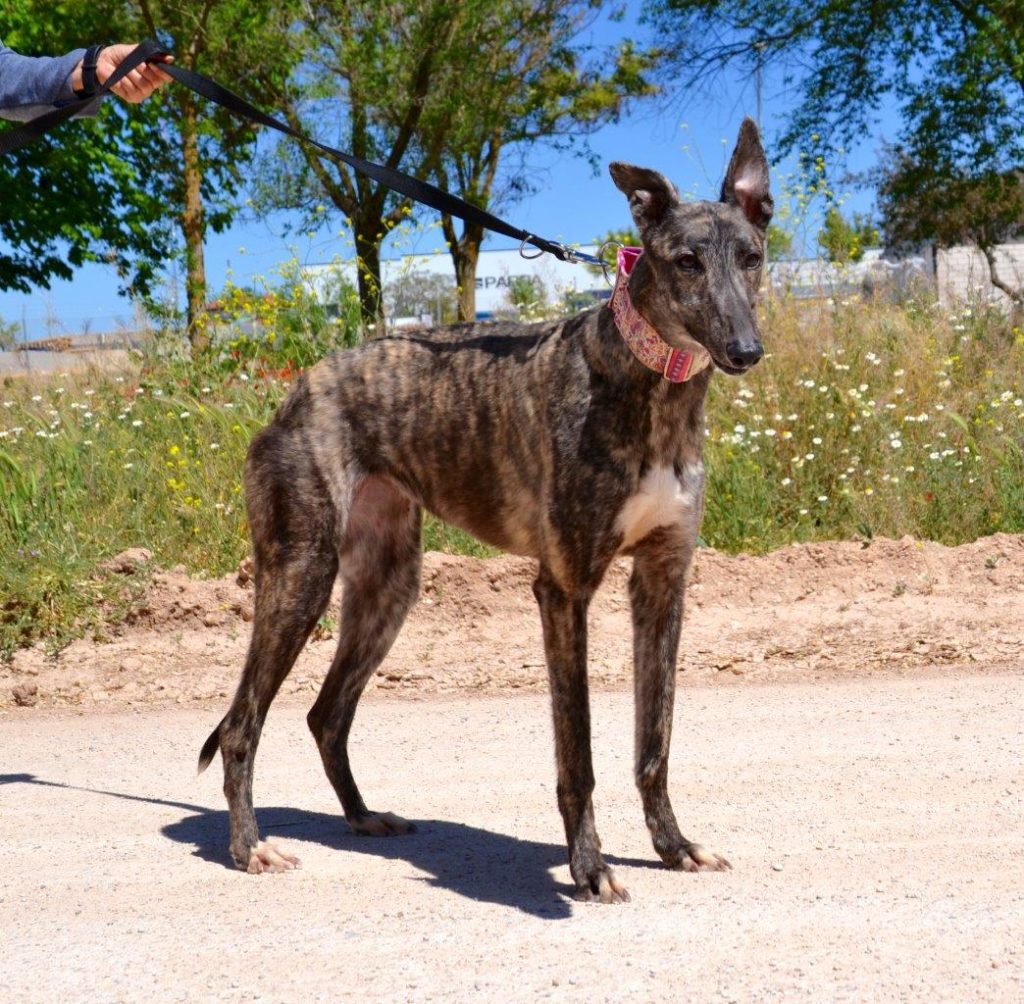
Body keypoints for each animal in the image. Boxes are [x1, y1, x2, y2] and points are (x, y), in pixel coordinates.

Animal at [197, 117, 774, 901]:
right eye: (685, 262)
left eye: (752, 257)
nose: (746, 349)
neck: (649, 384)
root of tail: (297, 390)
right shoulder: (563, 589)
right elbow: (578, 752)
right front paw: (589, 869)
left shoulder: (663, 582)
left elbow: (654, 741)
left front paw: (674, 847)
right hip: (301, 572)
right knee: (241, 723)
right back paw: (248, 846)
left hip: (388, 584)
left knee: (326, 714)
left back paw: (363, 817)